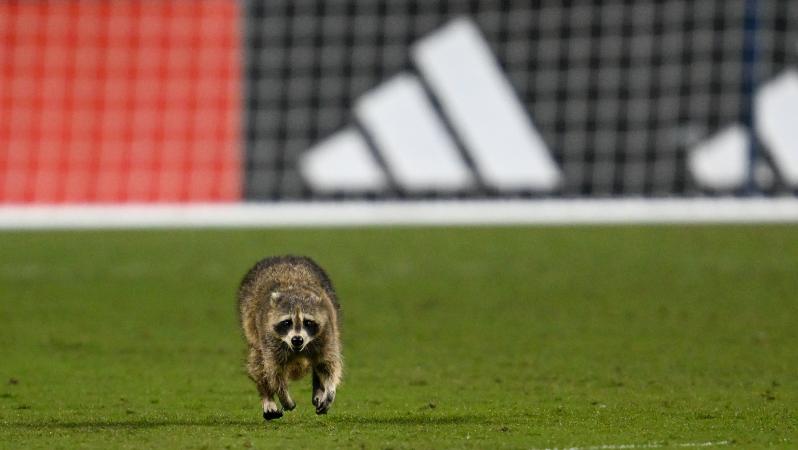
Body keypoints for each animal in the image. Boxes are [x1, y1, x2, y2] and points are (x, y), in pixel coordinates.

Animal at [237, 255, 342, 420]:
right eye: (287, 322)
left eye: (308, 322)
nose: (297, 339)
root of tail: (283, 257)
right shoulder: (269, 337)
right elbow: (274, 370)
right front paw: (283, 396)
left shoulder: (326, 332)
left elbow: (329, 364)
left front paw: (329, 389)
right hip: (251, 326)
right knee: (257, 362)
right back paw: (268, 397)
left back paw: (319, 388)